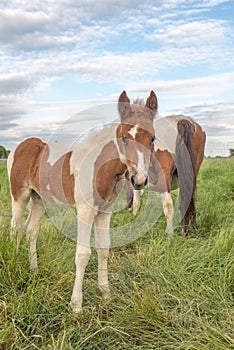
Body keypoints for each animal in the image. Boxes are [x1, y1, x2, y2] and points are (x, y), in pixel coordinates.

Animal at [7, 89, 158, 312]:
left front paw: (105, 293)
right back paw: (14, 262)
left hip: (38, 198)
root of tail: (20, 146)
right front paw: (76, 304)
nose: (139, 180)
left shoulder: (105, 212)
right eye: (123, 137)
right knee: (15, 227)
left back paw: (33, 269)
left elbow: (104, 248)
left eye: (152, 138)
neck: (100, 168)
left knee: (30, 230)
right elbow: (83, 254)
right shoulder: (85, 211)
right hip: (20, 195)